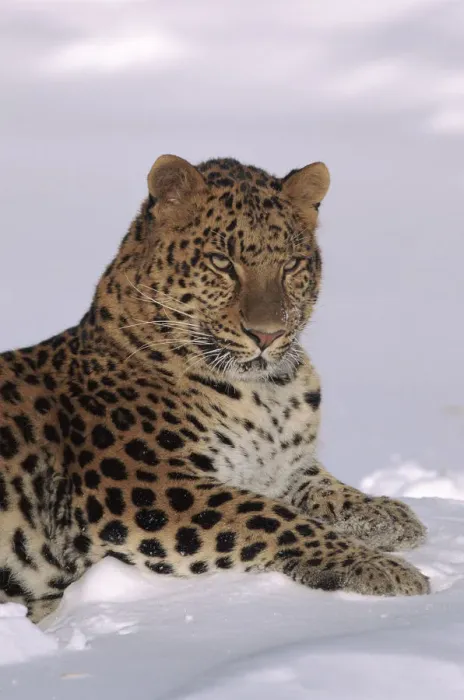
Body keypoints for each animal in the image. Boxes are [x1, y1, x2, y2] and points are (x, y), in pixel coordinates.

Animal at [0, 154, 429, 623]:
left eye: (291, 265)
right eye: (222, 262)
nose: (267, 334)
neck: (268, 392)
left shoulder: (278, 466)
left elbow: (320, 485)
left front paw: (388, 516)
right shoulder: (145, 487)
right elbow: (272, 517)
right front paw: (379, 568)